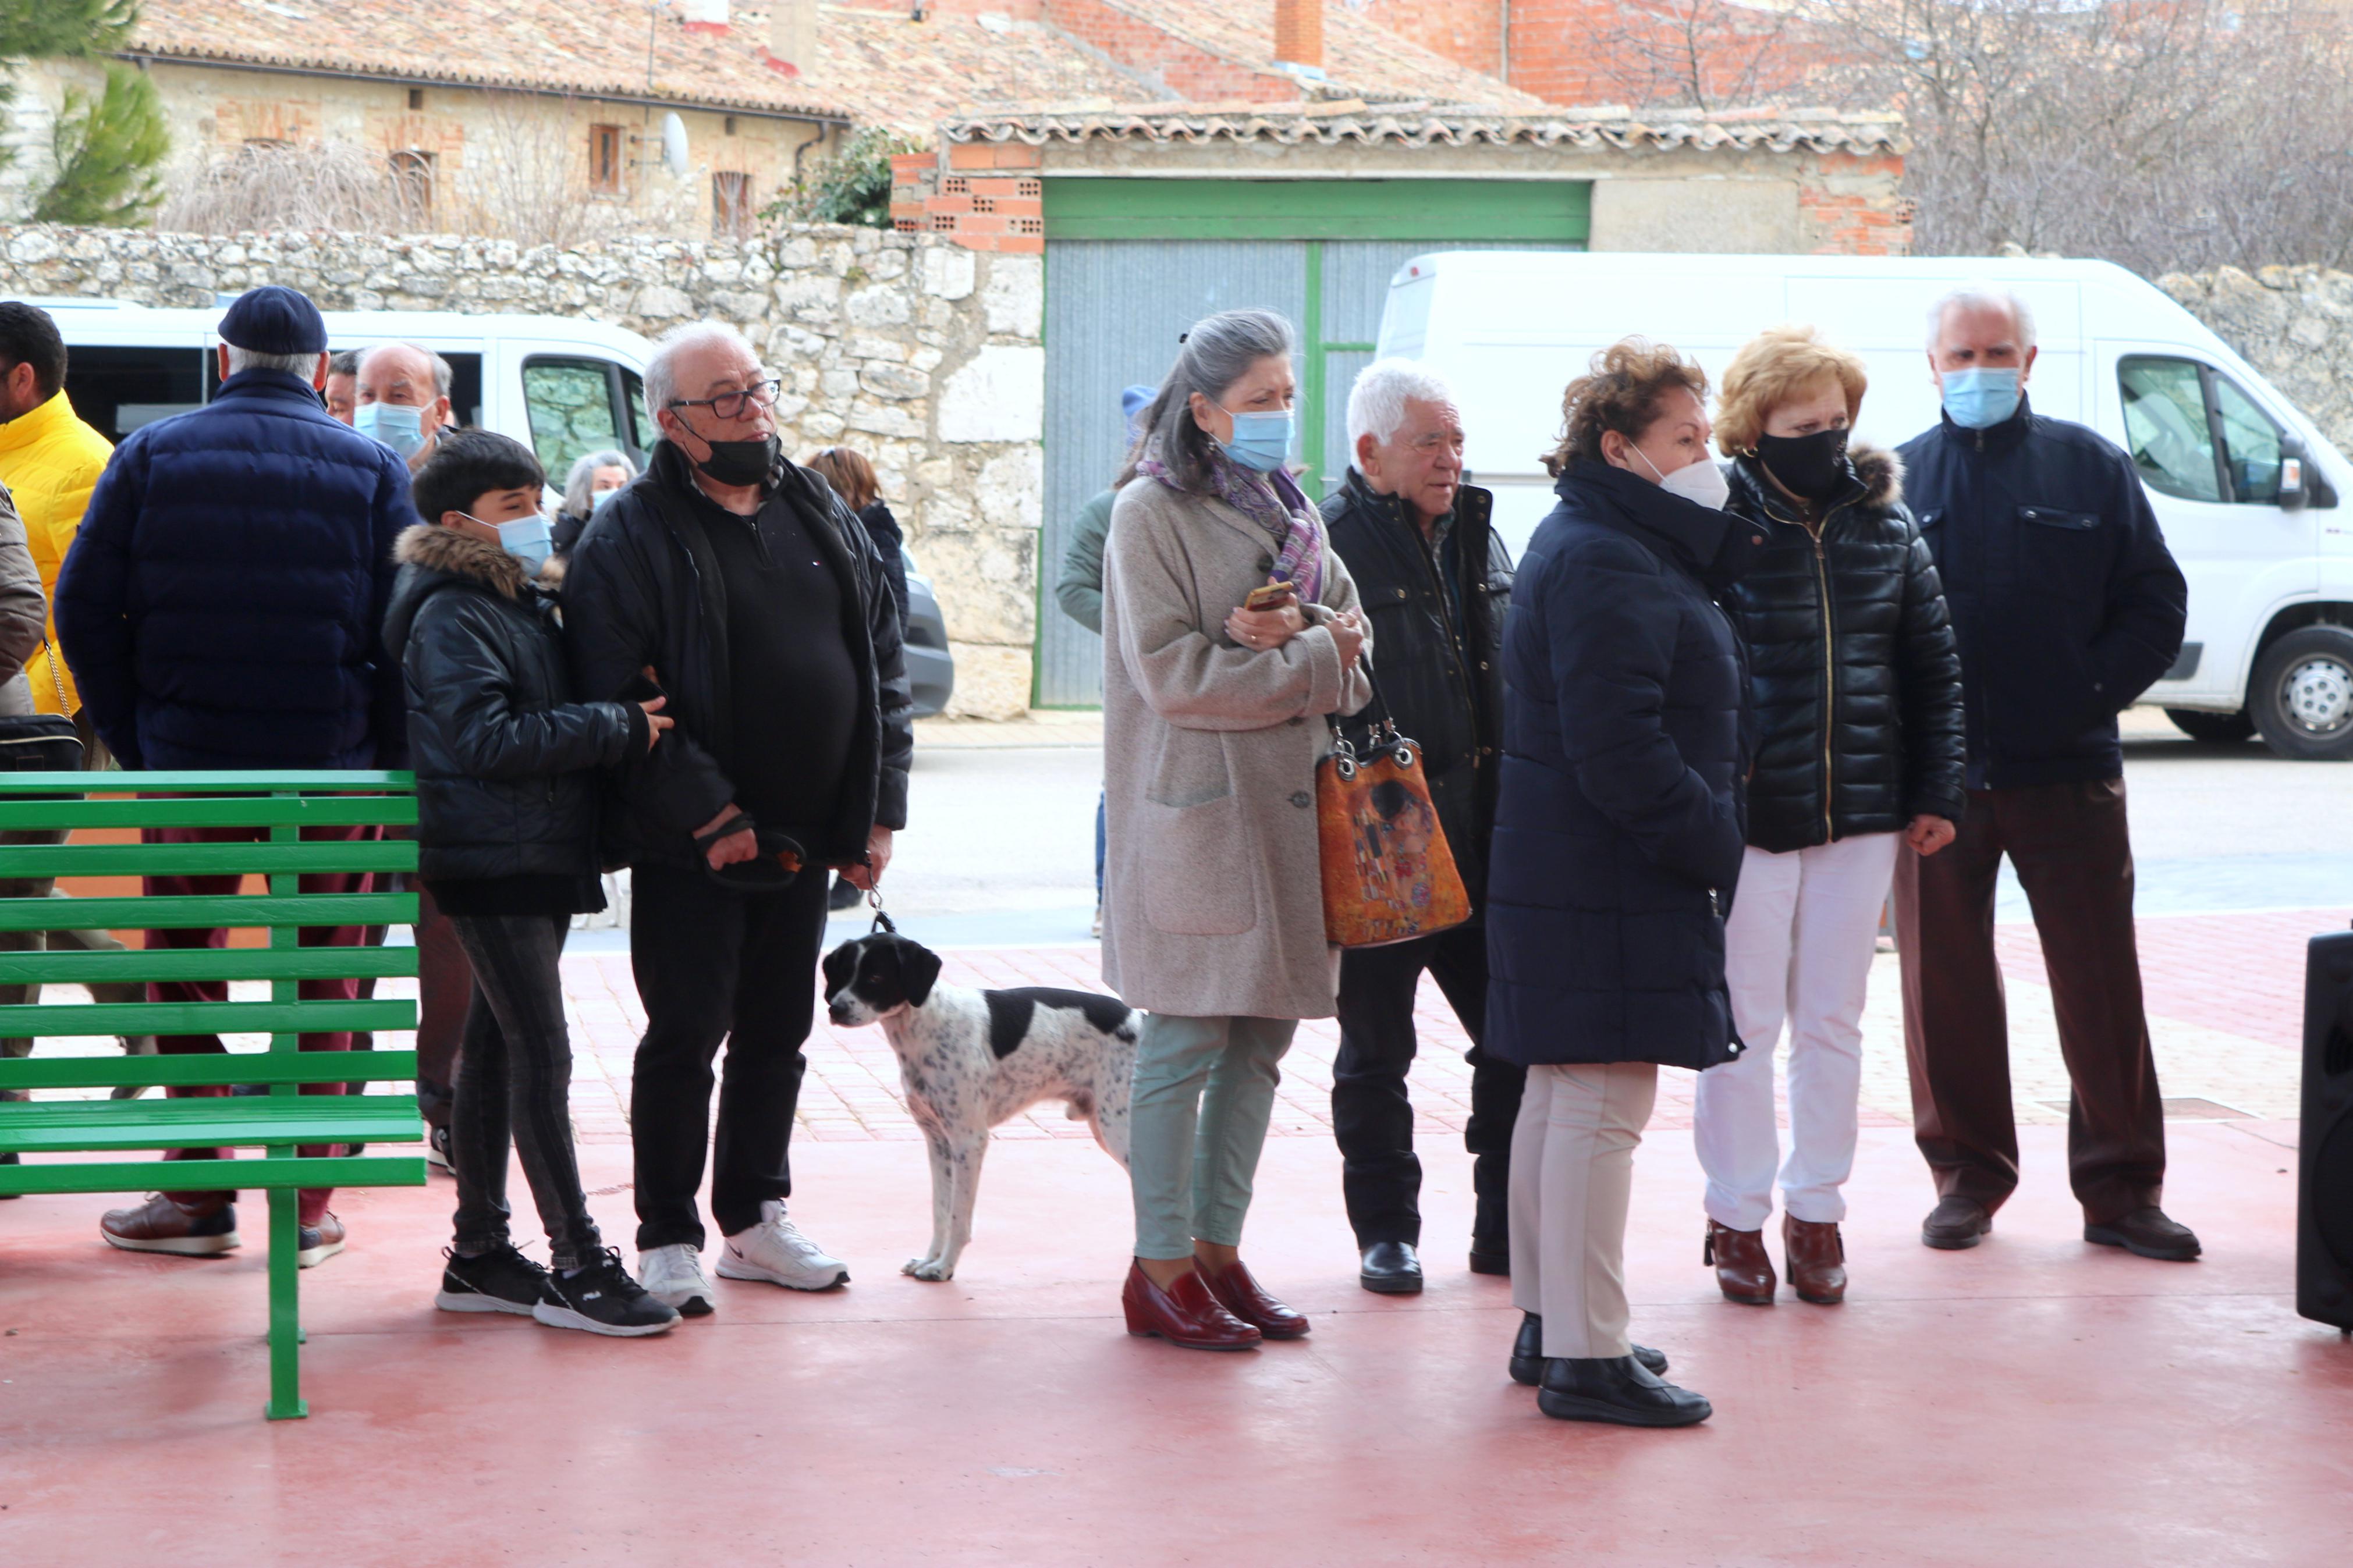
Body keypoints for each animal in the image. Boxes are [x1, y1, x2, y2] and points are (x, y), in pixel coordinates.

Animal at [824, 931, 1134, 1279]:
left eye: (875, 976)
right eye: (844, 972)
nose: (835, 1009)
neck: (928, 1026)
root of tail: (1141, 1019)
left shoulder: (969, 1140)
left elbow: (959, 1217)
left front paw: (944, 1268)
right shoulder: (937, 1141)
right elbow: (940, 1212)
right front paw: (929, 1259)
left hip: (1120, 1131)